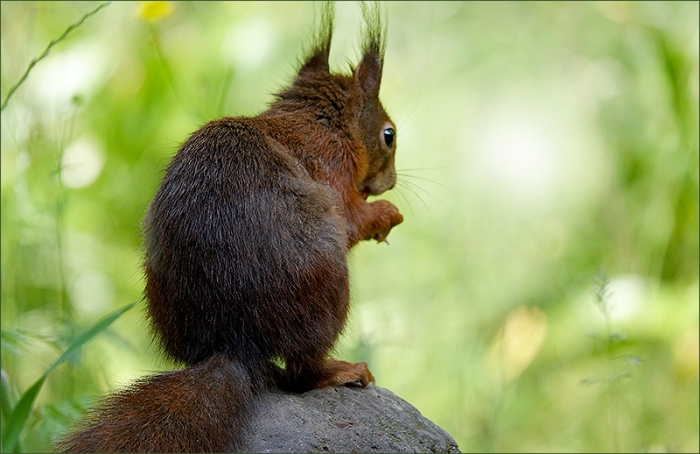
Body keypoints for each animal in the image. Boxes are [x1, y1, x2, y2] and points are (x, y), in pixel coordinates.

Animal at [57, 2, 402, 453]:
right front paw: (387, 214)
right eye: (389, 134)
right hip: (328, 288)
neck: (320, 124)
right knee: (301, 374)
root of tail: (234, 343)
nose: (390, 182)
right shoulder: (335, 173)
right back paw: (339, 371)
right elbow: (353, 219)